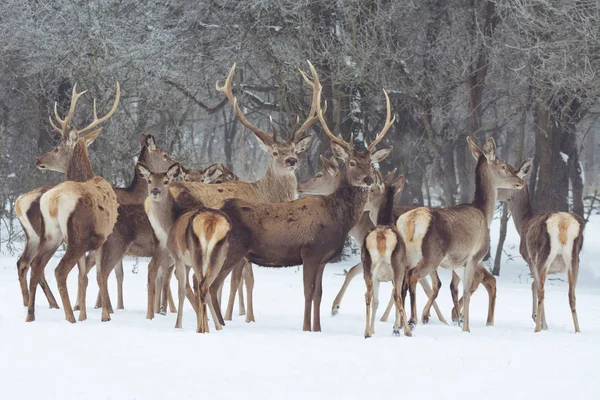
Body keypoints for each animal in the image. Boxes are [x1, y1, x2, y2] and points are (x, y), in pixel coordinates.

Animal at [25, 83, 120, 322]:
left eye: (56, 148)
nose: (38, 160)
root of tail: (54, 200)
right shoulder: (104, 236)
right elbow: (99, 275)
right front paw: (105, 315)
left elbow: (83, 276)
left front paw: (86, 314)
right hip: (77, 236)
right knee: (59, 271)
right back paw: (69, 317)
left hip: (53, 235)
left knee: (36, 266)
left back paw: (31, 316)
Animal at [139, 162, 232, 332]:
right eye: (149, 180)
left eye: (166, 181)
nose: (155, 191)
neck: (171, 221)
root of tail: (211, 223)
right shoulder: (186, 262)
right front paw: (215, 326)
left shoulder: (178, 257)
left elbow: (181, 289)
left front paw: (178, 325)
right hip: (219, 256)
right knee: (207, 287)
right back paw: (213, 326)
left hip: (196, 254)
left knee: (200, 286)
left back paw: (201, 328)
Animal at [358, 172, 410, 338]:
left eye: (371, 190)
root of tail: (381, 235)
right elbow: (396, 297)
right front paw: (396, 327)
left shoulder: (377, 277)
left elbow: (376, 301)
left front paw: (373, 329)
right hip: (397, 266)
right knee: (397, 296)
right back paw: (407, 331)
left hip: (367, 265)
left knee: (368, 295)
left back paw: (366, 332)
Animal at [396, 138, 528, 334]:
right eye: (504, 166)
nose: (520, 181)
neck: (484, 213)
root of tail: (411, 222)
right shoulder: (474, 256)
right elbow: (466, 292)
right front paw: (465, 328)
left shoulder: (458, 263)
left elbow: (459, 289)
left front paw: (459, 321)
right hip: (431, 256)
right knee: (412, 276)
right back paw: (412, 320)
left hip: (406, 256)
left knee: (400, 284)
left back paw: (398, 326)